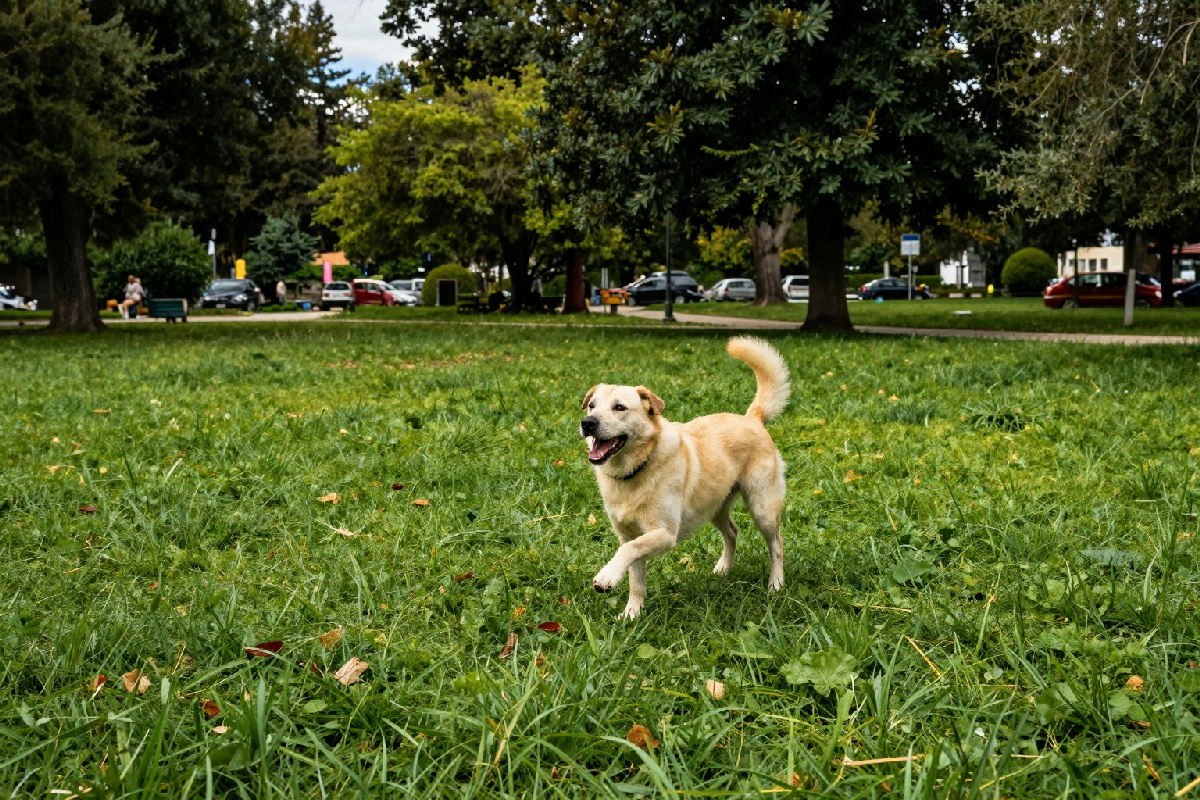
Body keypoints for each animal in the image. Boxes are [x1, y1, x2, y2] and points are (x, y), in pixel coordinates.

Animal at [580, 336, 791, 619]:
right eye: (592, 405)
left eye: (620, 407)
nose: (587, 423)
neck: (637, 469)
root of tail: (752, 419)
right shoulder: (629, 533)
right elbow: (636, 576)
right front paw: (632, 613)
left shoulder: (664, 534)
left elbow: (626, 551)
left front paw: (607, 576)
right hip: (714, 506)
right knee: (732, 532)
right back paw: (724, 569)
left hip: (762, 507)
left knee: (776, 543)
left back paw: (776, 584)